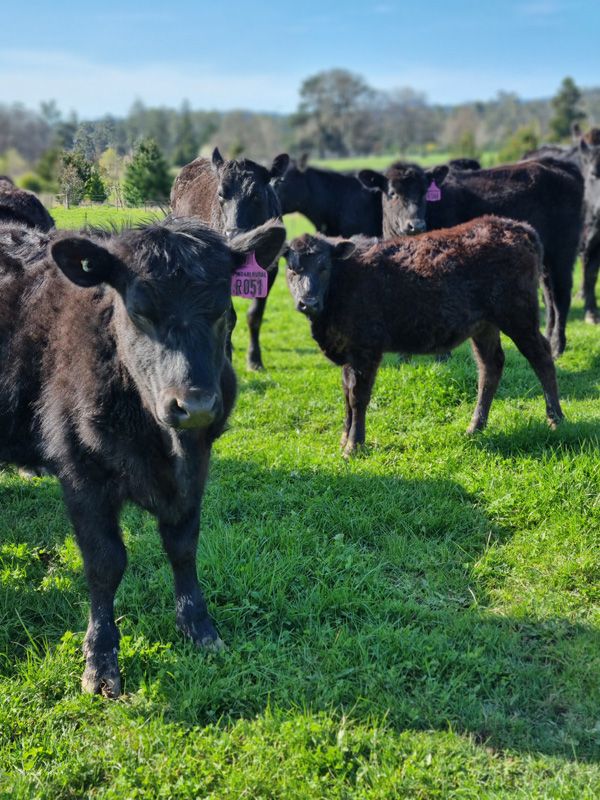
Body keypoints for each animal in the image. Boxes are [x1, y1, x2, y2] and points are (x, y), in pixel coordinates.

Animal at [0, 217, 286, 697]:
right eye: (139, 311)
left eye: (223, 310)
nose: (195, 405)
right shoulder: (82, 474)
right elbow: (105, 562)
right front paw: (100, 659)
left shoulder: (195, 469)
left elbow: (183, 547)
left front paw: (199, 626)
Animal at [171, 148, 289, 370]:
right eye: (220, 194)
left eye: (256, 194)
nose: (234, 236)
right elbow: (229, 318)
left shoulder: (272, 269)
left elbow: (255, 316)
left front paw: (254, 359)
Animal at [285, 217, 563, 457]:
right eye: (292, 269)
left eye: (324, 267)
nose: (308, 302)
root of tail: (518, 227)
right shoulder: (348, 351)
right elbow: (346, 394)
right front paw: (345, 438)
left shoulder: (366, 349)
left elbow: (358, 397)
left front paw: (354, 446)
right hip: (484, 326)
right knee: (490, 366)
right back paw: (475, 427)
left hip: (518, 316)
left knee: (541, 356)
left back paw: (556, 419)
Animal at [358, 158, 584, 358]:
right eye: (392, 193)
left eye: (424, 193)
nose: (416, 225)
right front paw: (404, 357)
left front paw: (442, 356)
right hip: (544, 259)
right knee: (549, 295)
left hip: (563, 250)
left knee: (561, 295)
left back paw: (557, 346)